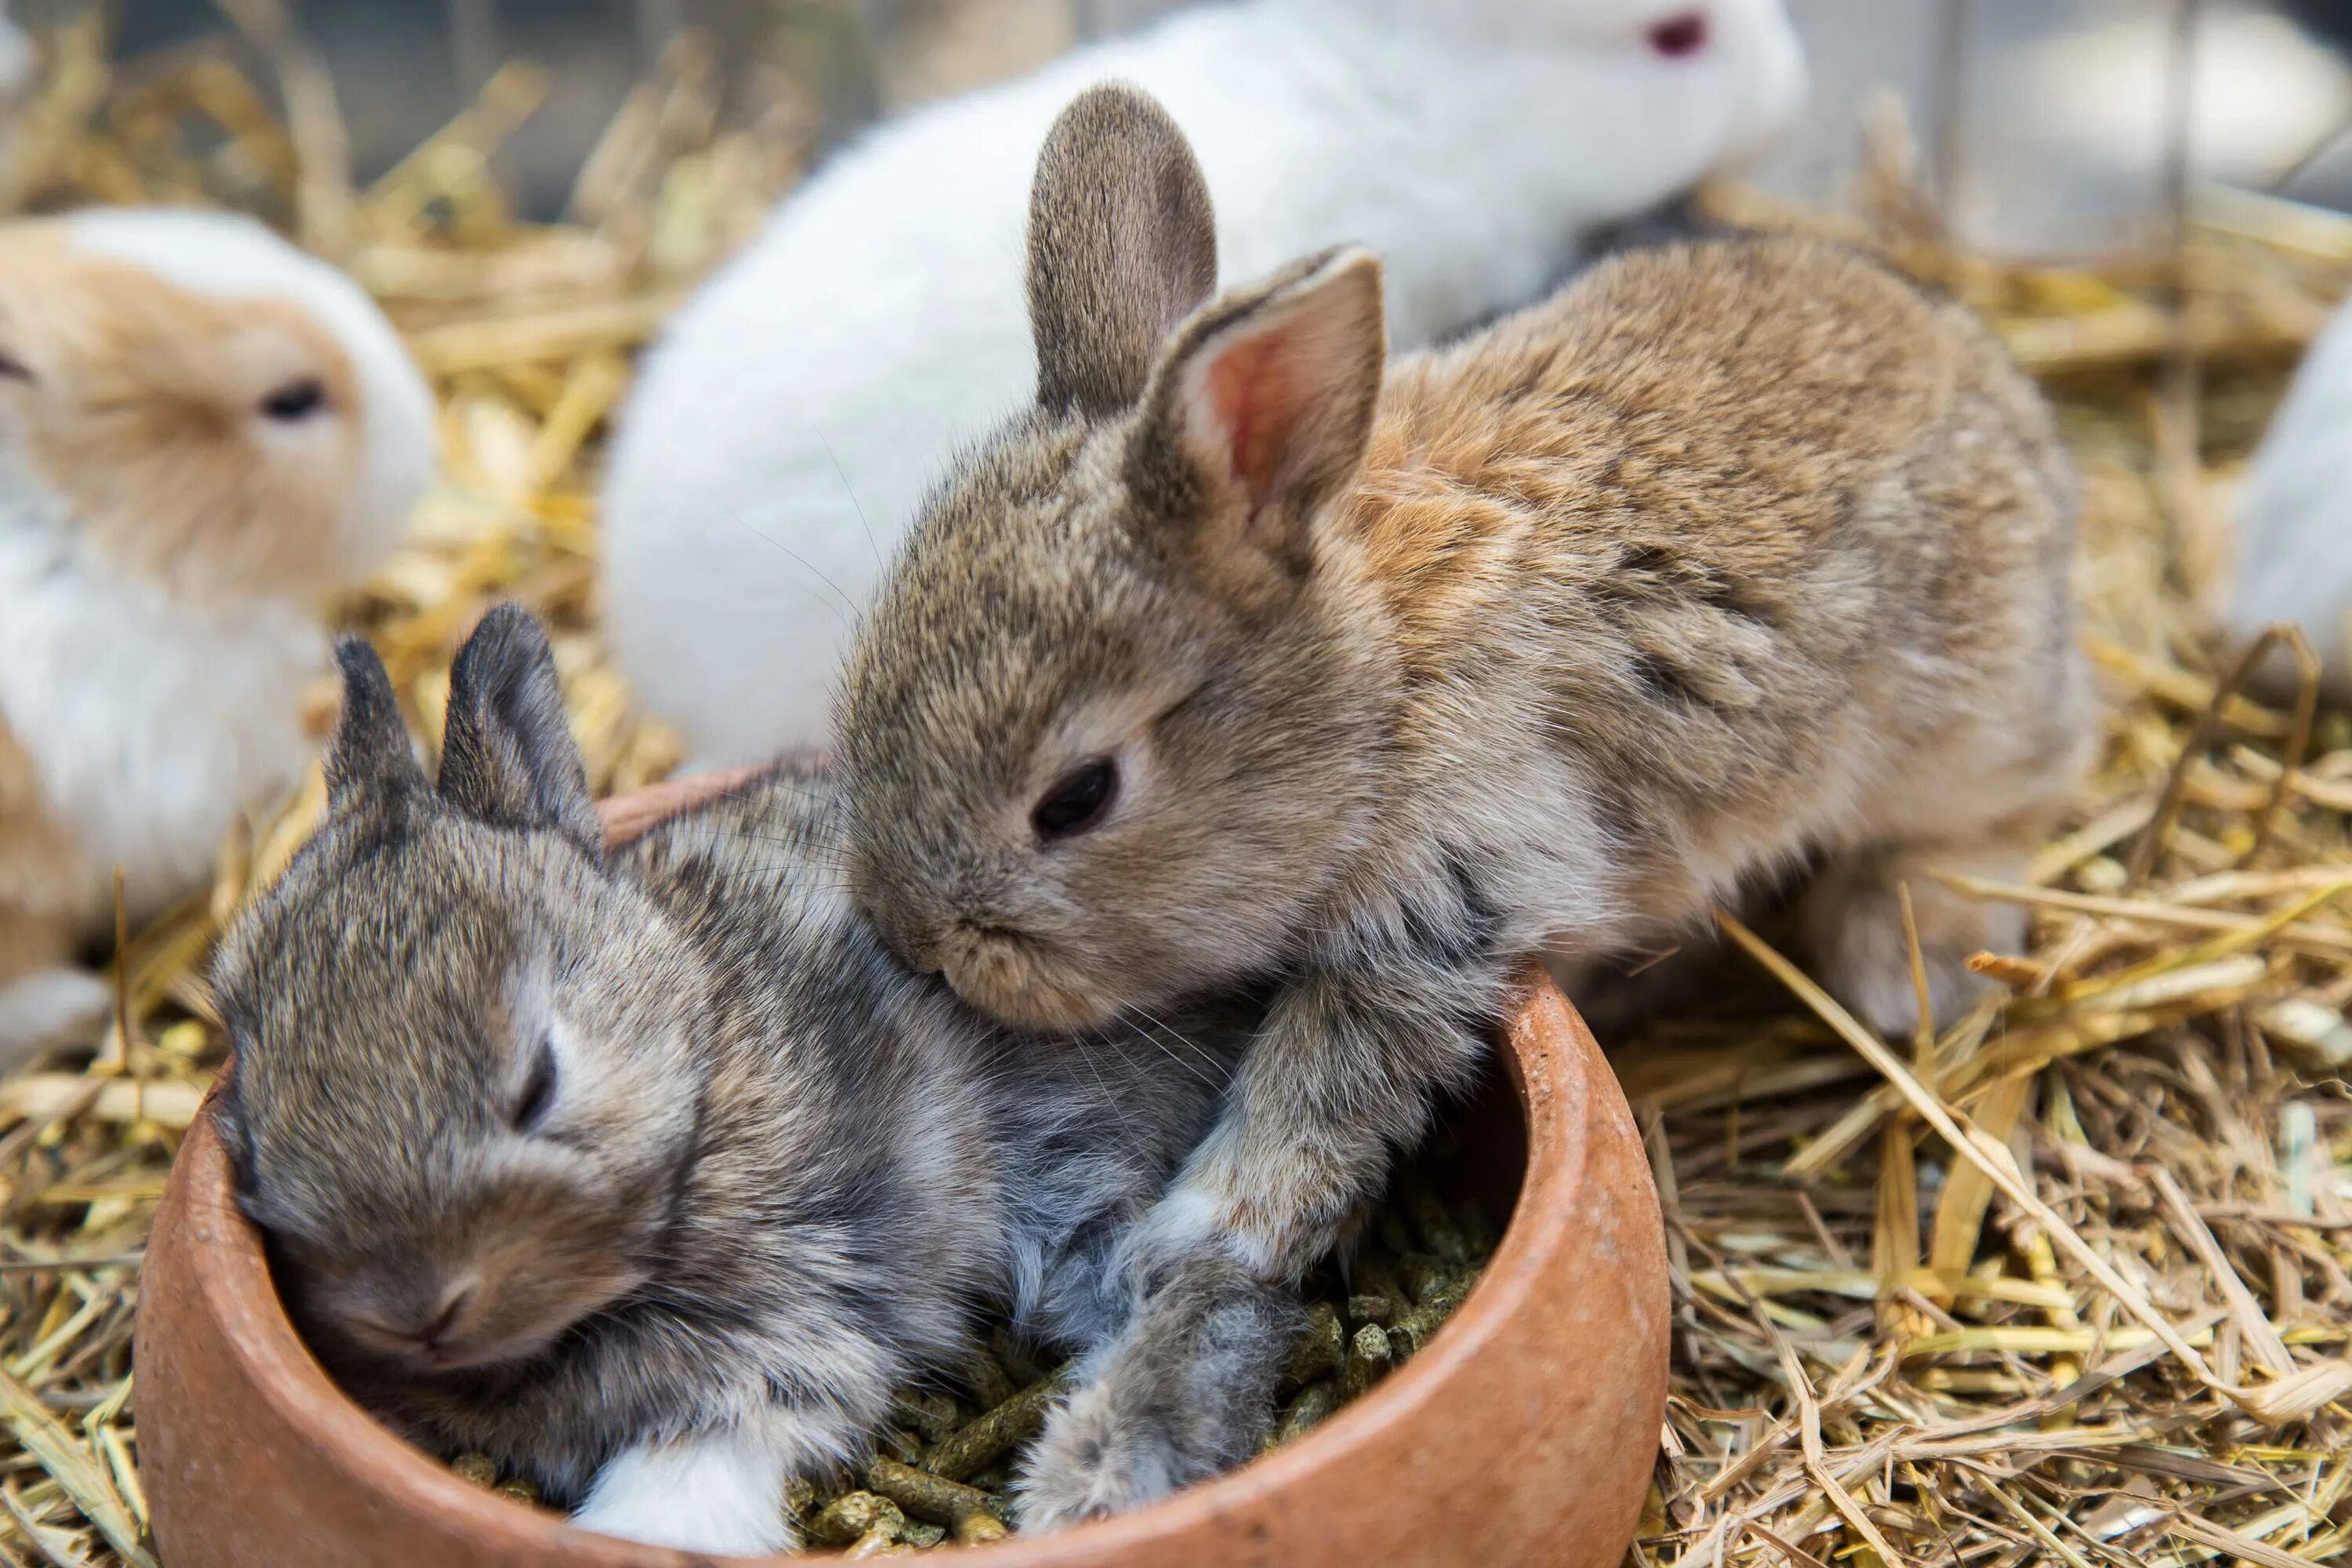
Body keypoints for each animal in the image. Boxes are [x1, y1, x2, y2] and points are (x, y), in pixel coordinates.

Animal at [212, 606, 1298, 1552]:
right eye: (253, 1127)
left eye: (539, 1083)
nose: (414, 1310)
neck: (698, 1079)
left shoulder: (795, 1317)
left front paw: (648, 1527)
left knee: (1220, 1295)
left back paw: (1098, 1477)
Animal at [837, 82, 2089, 1523]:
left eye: (1079, 797)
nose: (913, 942)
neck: (1374, 687)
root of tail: (2000, 390)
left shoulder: (1433, 918)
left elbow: (1307, 1114)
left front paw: (1187, 1251)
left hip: (1964, 729)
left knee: (2003, 817)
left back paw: (1899, 965)